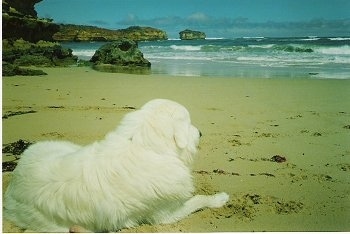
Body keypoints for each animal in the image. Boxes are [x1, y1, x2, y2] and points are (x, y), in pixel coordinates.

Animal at [5, 98, 231, 232]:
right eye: (189, 123)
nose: (201, 132)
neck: (146, 147)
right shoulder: (166, 214)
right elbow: (198, 199)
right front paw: (219, 198)